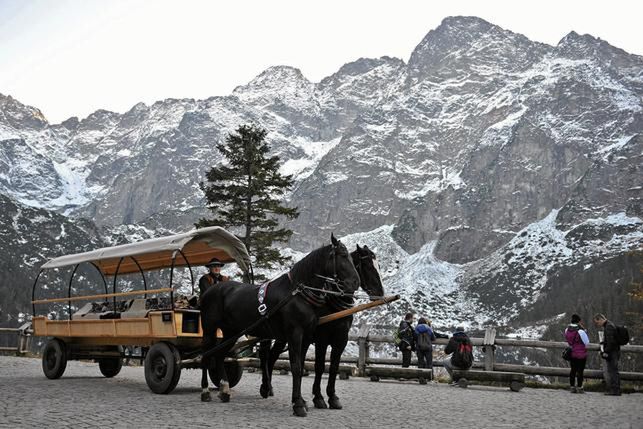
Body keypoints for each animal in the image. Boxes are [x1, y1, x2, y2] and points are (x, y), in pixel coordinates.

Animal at [200, 232, 360, 416]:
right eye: (342, 256)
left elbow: (301, 366)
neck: (297, 294)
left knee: (219, 355)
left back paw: (224, 390)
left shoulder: (306, 337)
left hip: (231, 332)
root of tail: (211, 290)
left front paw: (301, 400)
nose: (355, 282)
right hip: (209, 329)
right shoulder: (295, 334)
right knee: (206, 356)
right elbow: (296, 367)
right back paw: (205, 391)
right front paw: (298, 404)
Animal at [260, 244, 384, 408]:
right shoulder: (321, 339)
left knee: (276, 356)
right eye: (368, 266)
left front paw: (332, 396)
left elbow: (333, 367)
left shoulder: (341, 339)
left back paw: (271, 388)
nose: (380, 293)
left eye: (378, 265)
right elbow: (319, 366)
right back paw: (265, 387)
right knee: (268, 356)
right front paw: (318, 397)